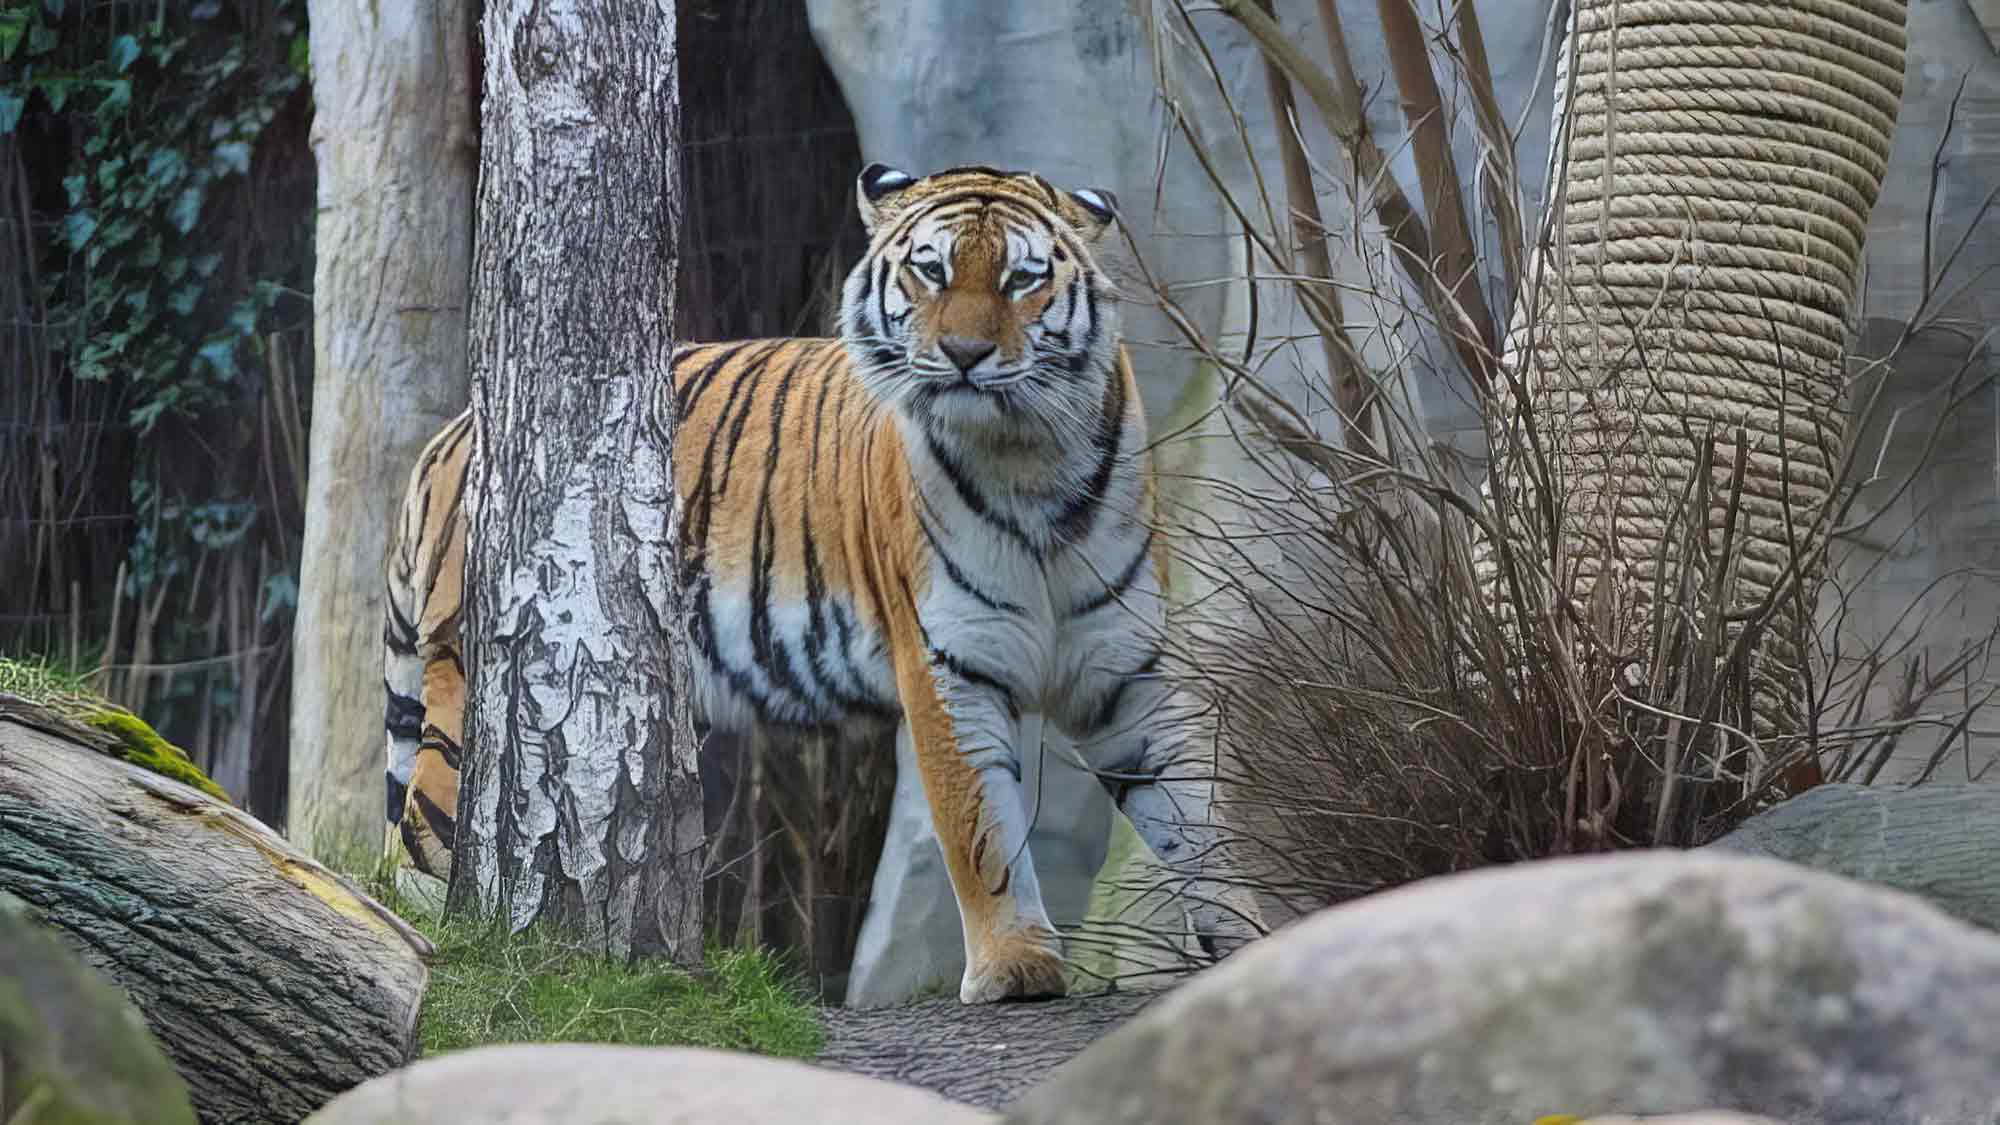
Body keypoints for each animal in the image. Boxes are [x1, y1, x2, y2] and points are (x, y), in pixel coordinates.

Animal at [382, 163, 1262, 1003]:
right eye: (933, 271)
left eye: (1021, 279)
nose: (966, 355)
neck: (1031, 461)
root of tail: (453, 434)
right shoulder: (949, 665)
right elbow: (980, 828)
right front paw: (1014, 966)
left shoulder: (1124, 667)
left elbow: (1197, 810)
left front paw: (1250, 939)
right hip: (467, 704)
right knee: (414, 844)